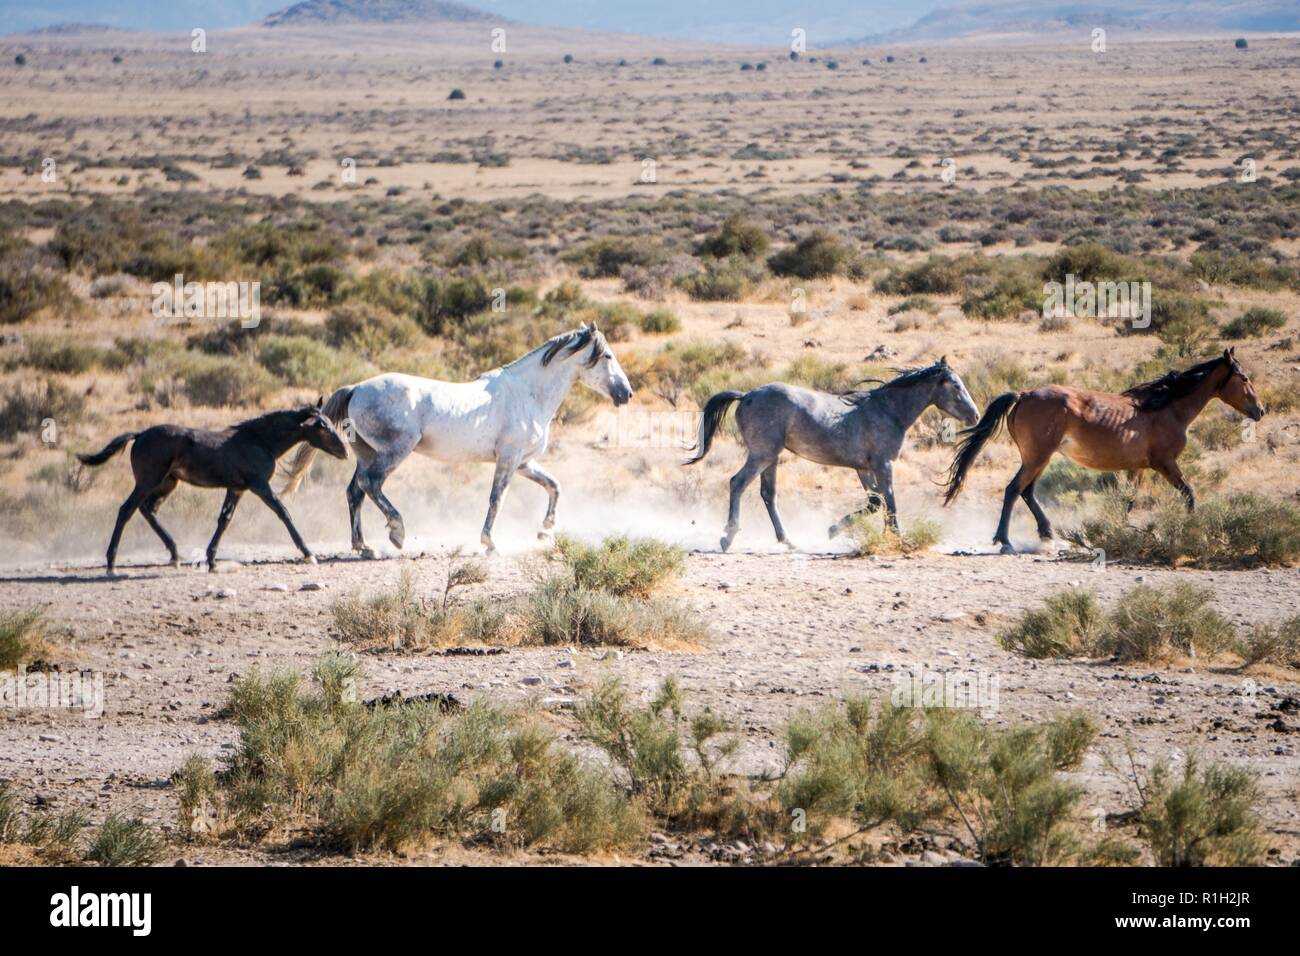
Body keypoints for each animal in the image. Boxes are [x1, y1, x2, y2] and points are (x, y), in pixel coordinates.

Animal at [78, 400, 348, 572]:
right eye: (322, 427)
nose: (344, 451)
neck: (259, 441)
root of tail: (140, 434)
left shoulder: (237, 489)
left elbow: (224, 520)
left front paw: (211, 560)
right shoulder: (259, 485)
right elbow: (284, 513)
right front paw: (309, 554)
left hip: (168, 482)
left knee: (148, 509)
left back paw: (175, 555)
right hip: (148, 480)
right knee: (127, 509)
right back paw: (111, 564)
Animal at [282, 325, 631, 556]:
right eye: (608, 356)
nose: (626, 393)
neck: (528, 394)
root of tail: (356, 388)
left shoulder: (523, 462)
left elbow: (554, 485)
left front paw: (545, 530)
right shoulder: (508, 459)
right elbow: (497, 499)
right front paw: (490, 543)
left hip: (367, 453)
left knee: (355, 492)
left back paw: (364, 546)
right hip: (395, 451)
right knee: (371, 485)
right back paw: (397, 532)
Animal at [691, 358, 977, 554]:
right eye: (955, 385)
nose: (974, 416)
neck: (887, 411)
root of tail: (746, 396)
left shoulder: (864, 468)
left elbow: (876, 502)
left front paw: (833, 530)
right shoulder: (883, 464)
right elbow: (890, 502)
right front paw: (900, 539)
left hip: (770, 458)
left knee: (768, 494)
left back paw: (789, 541)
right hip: (761, 455)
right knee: (737, 483)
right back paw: (728, 537)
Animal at [946, 348, 1258, 554]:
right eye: (1243, 378)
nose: (1260, 410)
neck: (1167, 408)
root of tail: (1023, 394)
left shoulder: (1138, 468)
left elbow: (1127, 502)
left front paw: (1120, 530)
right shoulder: (1165, 464)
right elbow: (1189, 494)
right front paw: (1193, 531)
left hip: (1038, 458)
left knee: (1027, 492)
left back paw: (1047, 534)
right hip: (1037, 457)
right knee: (1014, 489)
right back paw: (1006, 541)